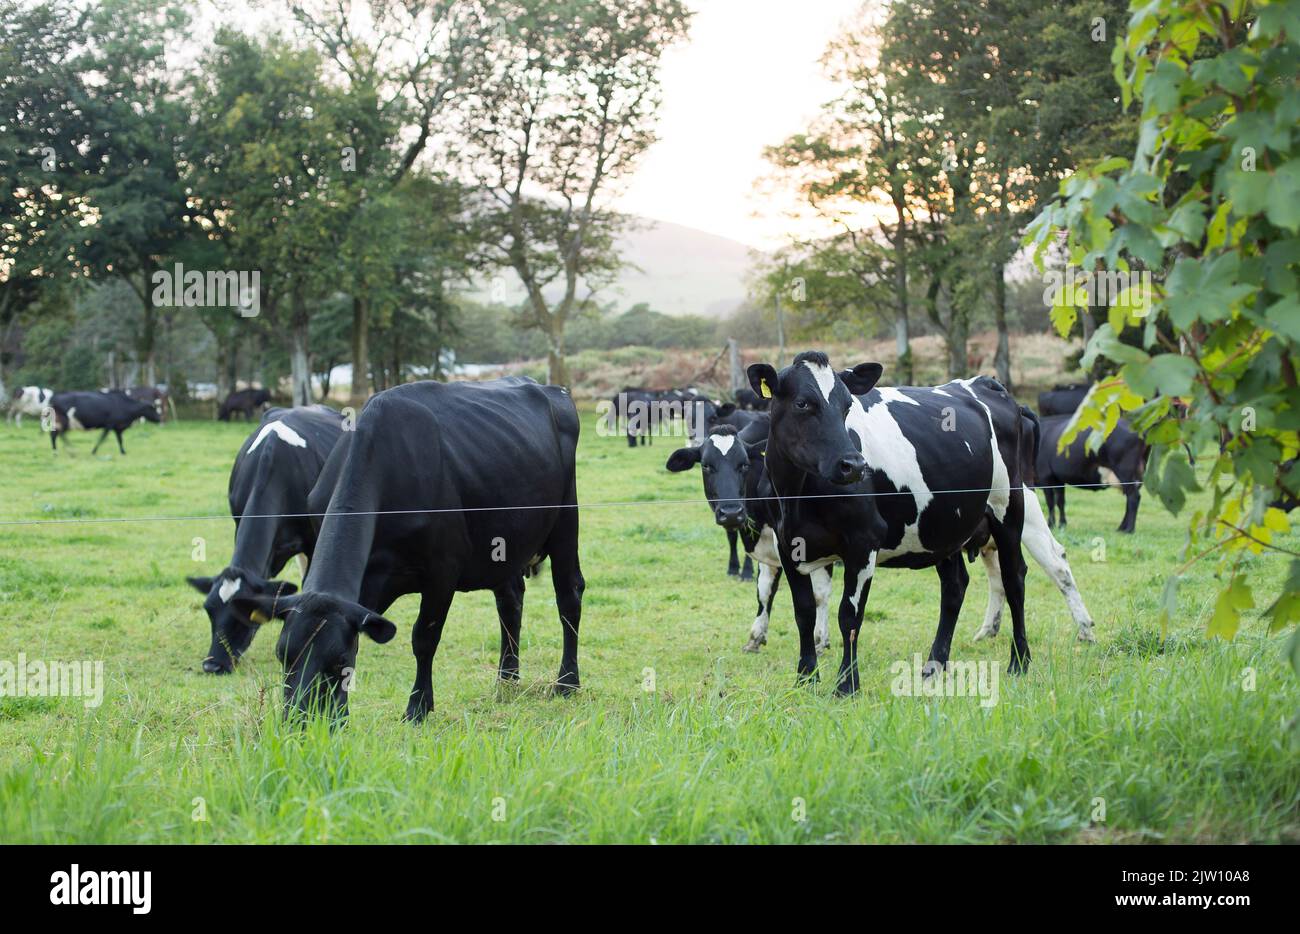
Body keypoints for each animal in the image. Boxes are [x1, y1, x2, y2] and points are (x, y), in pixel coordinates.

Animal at [224, 376, 585, 722]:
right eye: (283, 653)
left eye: (339, 659)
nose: (301, 721)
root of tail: (551, 389)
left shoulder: (442, 571)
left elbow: (423, 639)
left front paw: (417, 707)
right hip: (504, 542)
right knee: (510, 601)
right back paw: (506, 681)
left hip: (566, 519)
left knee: (569, 594)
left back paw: (567, 682)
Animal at [667, 408, 1094, 657]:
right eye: (706, 466)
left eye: (743, 464)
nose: (730, 512)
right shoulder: (772, 545)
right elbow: (764, 592)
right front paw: (756, 636)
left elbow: (820, 596)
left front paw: (821, 639)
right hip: (973, 534)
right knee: (991, 579)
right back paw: (985, 631)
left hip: (1022, 513)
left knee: (1056, 566)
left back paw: (1086, 630)